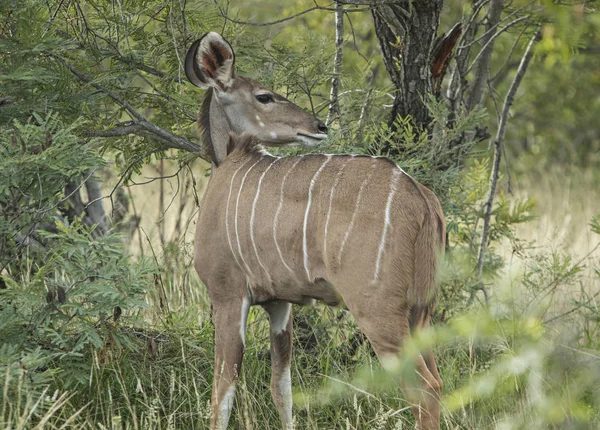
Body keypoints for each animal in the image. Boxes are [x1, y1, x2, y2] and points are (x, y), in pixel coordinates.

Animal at [186, 31, 446, 428]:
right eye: (264, 96)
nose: (319, 126)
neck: (230, 161)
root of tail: (422, 198)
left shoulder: (228, 294)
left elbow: (222, 391)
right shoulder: (279, 304)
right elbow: (282, 388)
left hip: (379, 312)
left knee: (425, 388)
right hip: (422, 313)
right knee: (439, 381)